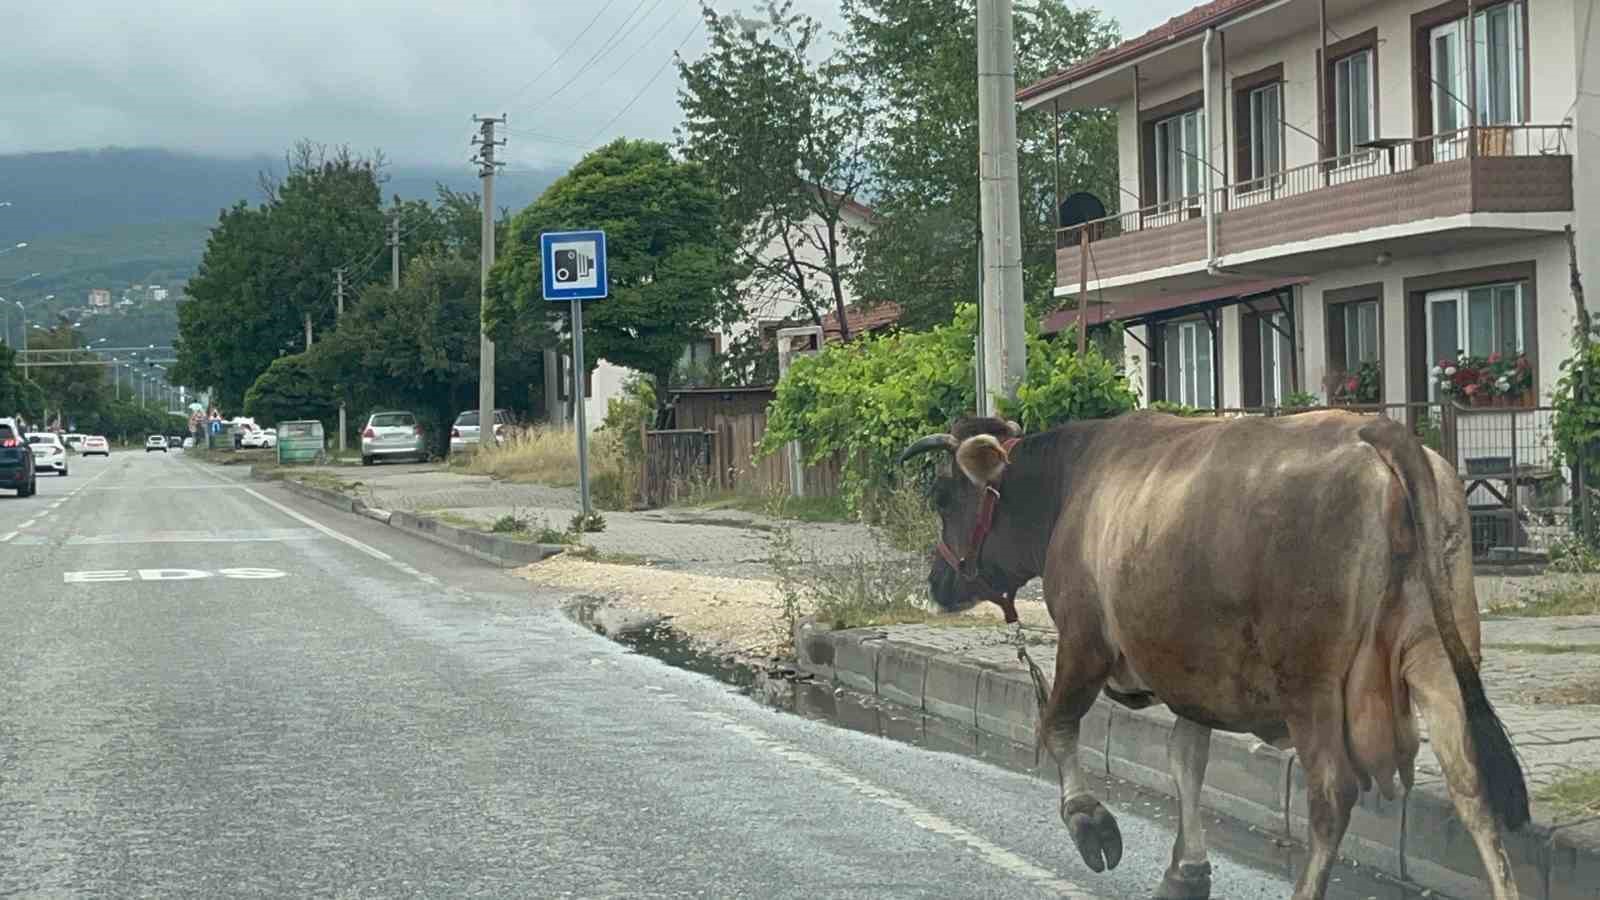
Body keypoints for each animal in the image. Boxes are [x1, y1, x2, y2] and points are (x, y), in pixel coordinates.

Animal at [902, 413, 1523, 896]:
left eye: (942, 498)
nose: (936, 581)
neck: (1072, 484)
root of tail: (1378, 431)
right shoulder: (1193, 669)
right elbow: (1186, 760)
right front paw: (1186, 872)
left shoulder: (1084, 639)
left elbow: (1056, 724)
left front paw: (1090, 824)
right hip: (1436, 653)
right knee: (1472, 789)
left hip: (1311, 682)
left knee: (1331, 794)